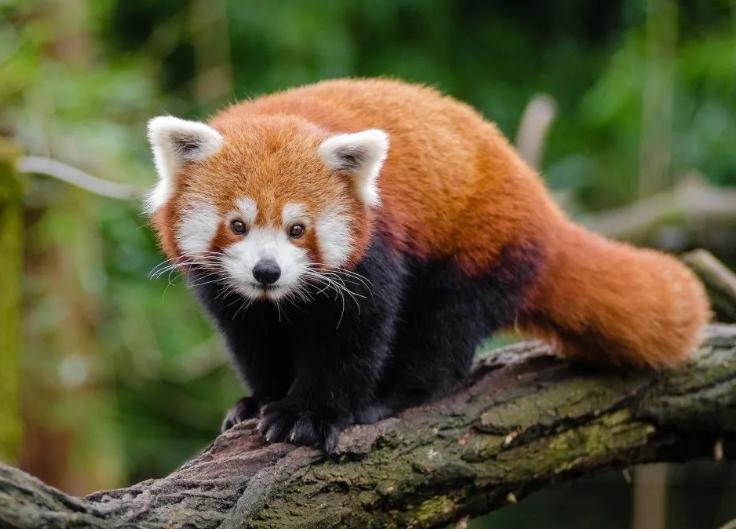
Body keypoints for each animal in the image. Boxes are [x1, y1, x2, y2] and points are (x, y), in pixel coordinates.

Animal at [148, 77, 708, 450]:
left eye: (298, 229)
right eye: (238, 225)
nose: (267, 272)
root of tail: (543, 209)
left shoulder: (378, 250)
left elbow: (353, 337)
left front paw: (309, 413)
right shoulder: (231, 294)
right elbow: (252, 339)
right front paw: (259, 399)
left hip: (477, 248)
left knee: (443, 330)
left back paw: (395, 395)